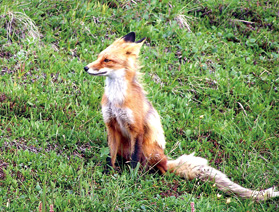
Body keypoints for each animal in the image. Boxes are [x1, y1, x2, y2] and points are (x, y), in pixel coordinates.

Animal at [85, 31, 279, 200]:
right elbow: (110, 157)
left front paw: (131, 179)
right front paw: (109, 174)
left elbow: (134, 162)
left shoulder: (136, 130)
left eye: (107, 60)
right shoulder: (111, 125)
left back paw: (154, 176)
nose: (86, 67)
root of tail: (166, 159)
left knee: (161, 170)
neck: (116, 100)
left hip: (150, 152)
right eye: (99, 56)